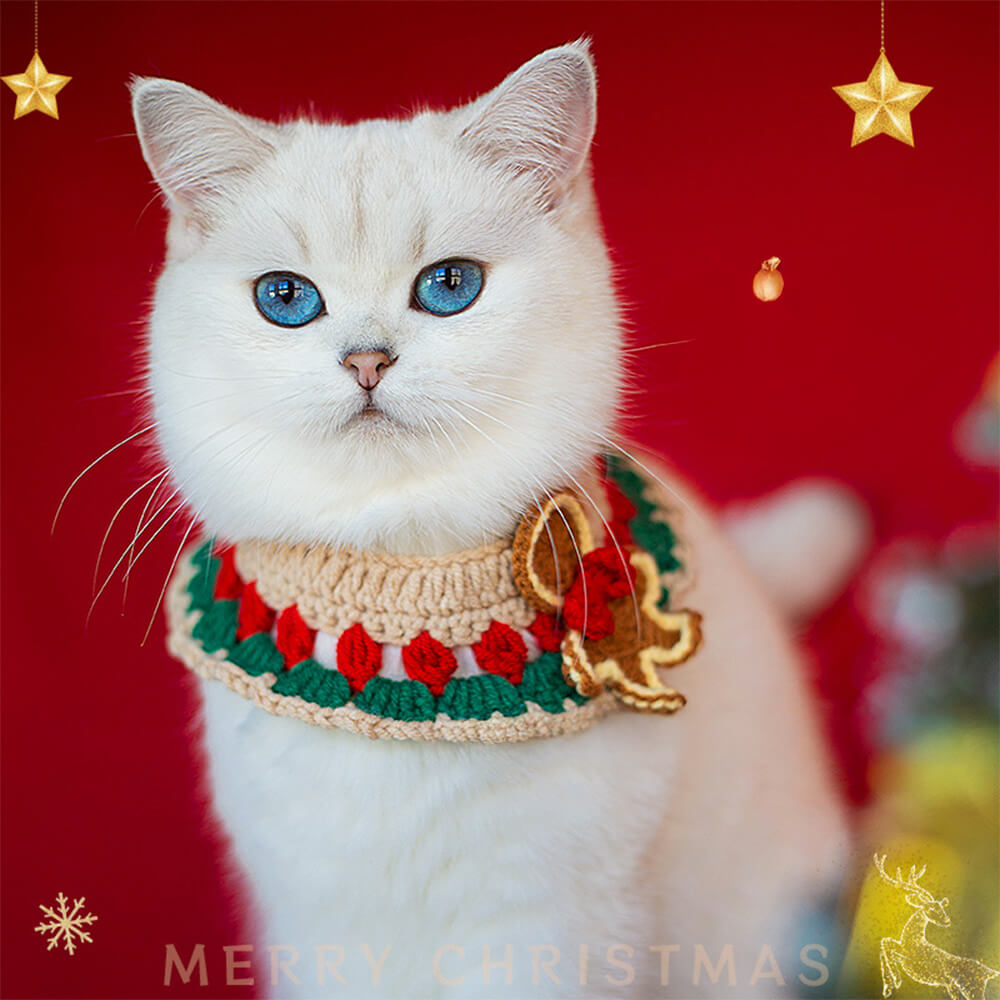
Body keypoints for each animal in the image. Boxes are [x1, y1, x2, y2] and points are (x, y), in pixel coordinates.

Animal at [131, 43, 852, 996]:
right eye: (285, 298)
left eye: (450, 286)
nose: (366, 360)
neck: (401, 620)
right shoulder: (322, 927)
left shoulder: (546, 935)